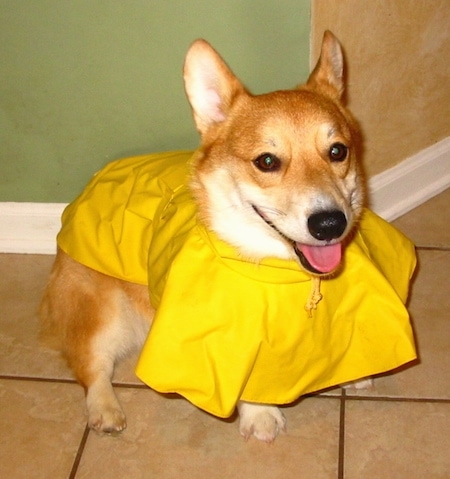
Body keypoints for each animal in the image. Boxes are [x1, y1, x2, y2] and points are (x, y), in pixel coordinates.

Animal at [40, 30, 416, 444]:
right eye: (267, 161)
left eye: (338, 151)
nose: (330, 224)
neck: (288, 274)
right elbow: (249, 379)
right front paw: (261, 416)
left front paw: (355, 373)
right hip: (103, 313)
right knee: (92, 366)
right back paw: (105, 409)